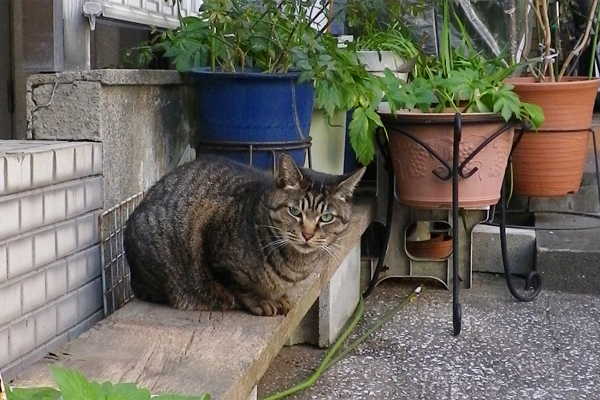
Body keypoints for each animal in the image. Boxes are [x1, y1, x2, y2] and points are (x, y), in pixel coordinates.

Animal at [124, 152, 364, 316]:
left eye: (326, 217)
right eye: (295, 211)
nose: (307, 234)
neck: (296, 264)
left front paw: (281, 298)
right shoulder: (218, 254)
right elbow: (240, 286)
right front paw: (262, 301)